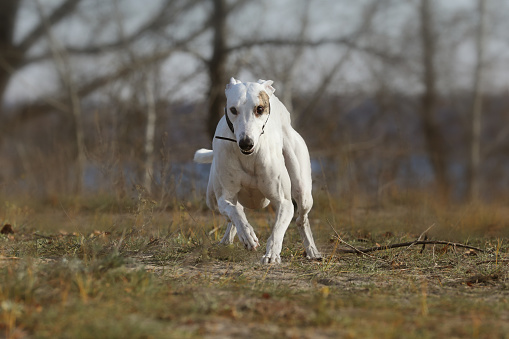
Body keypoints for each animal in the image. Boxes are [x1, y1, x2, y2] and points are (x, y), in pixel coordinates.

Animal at [192, 78, 320, 264]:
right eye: (233, 109)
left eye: (259, 109)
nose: (246, 143)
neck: (249, 156)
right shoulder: (224, 197)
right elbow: (234, 211)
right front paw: (247, 235)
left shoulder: (284, 201)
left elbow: (277, 230)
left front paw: (271, 255)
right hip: (211, 199)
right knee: (232, 214)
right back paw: (227, 240)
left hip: (303, 192)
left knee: (301, 219)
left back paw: (312, 250)